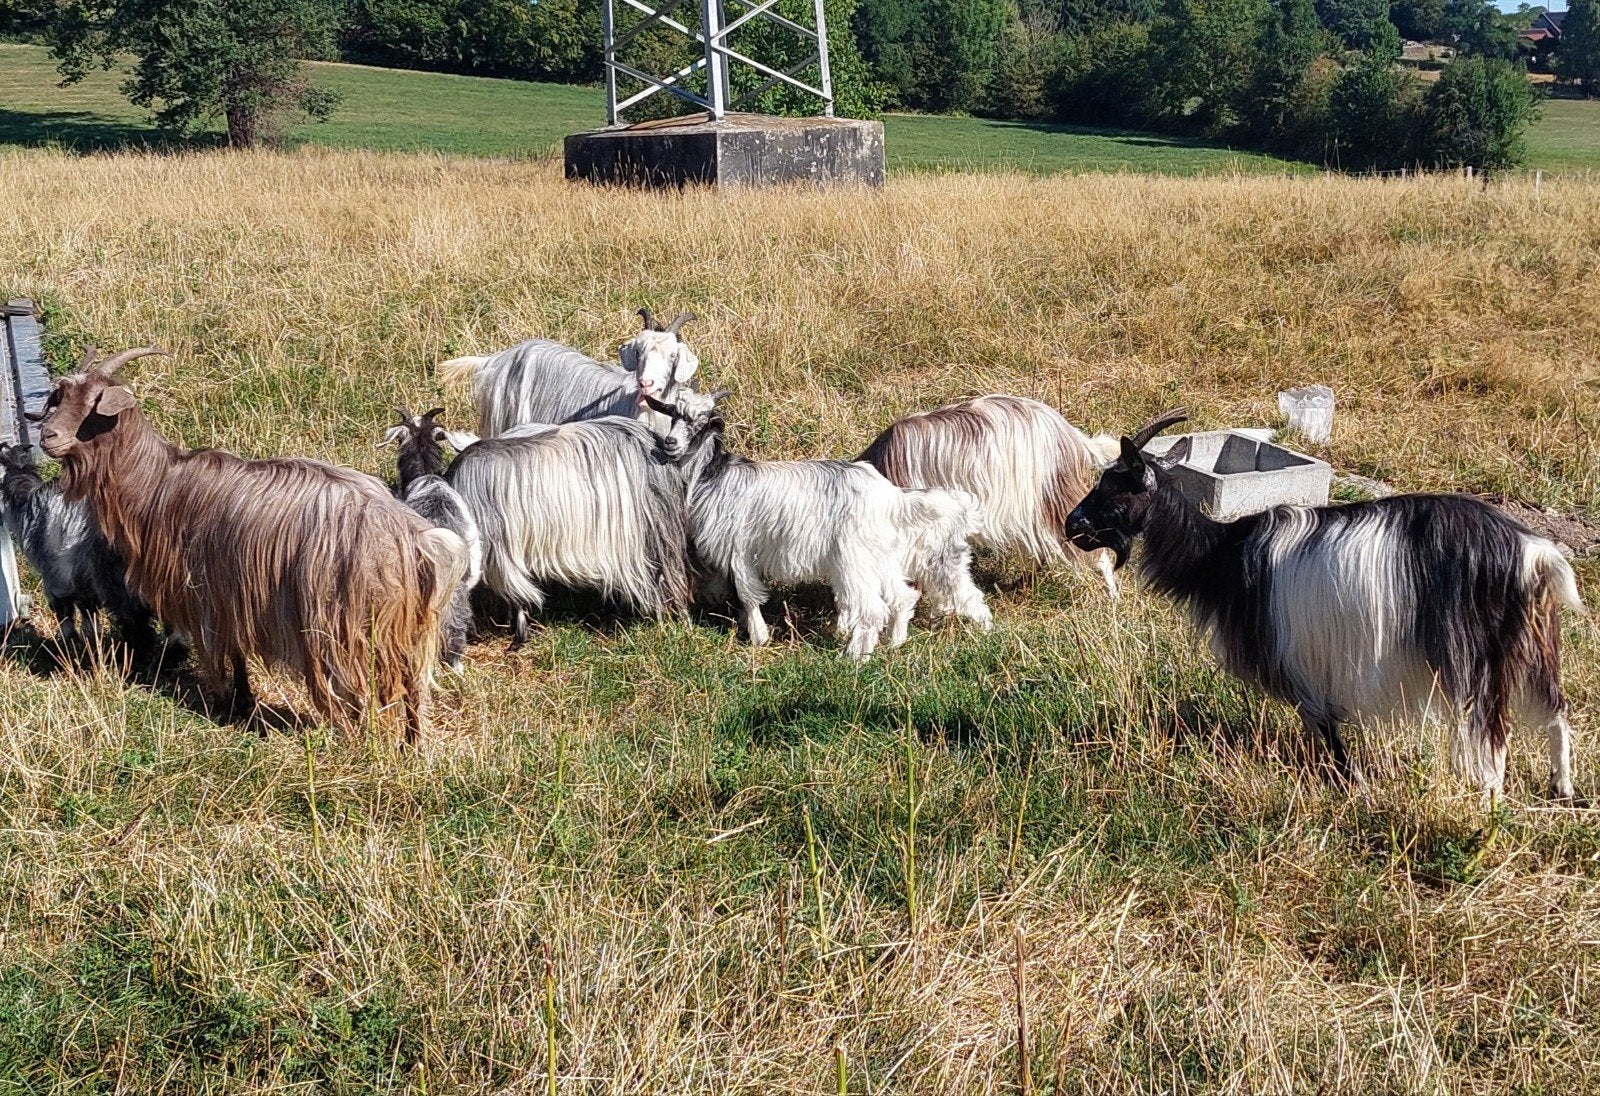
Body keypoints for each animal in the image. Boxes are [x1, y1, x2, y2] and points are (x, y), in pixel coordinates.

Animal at [0, 441, 158, 656]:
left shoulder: (56, 581)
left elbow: (65, 615)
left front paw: (69, 645)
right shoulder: (81, 583)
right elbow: (88, 616)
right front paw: (90, 642)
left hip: (117, 581)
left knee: (135, 619)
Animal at [37, 347, 470, 742]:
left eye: (94, 402)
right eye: (61, 395)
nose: (48, 436)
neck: (159, 485)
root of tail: (415, 539)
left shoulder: (209, 594)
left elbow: (225, 652)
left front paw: (228, 703)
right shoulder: (233, 595)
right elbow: (237, 650)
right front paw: (242, 702)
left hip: (343, 623)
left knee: (368, 684)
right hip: (408, 623)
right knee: (412, 683)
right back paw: (412, 744)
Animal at [649, 390, 991, 660]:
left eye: (703, 419)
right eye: (672, 413)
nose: (670, 442)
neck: (713, 474)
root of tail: (890, 495)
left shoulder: (739, 549)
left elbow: (748, 595)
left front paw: (759, 638)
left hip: (855, 556)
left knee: (872, 608)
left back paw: (854, 658)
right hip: (879, 556)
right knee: (903, 596)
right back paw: (895, 643)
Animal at [1065, 409, 1586, 797]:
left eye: (1113, 486)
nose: (1073, 524)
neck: (1222, 556)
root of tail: (1532, 553)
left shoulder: (1299, 667)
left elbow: (1325, 730)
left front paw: (1349, 784)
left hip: (1474, 656)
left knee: (1493, 736)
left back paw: (1489, 799)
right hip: (1533, 642)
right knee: (1556, 709)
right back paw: (1561, 788)